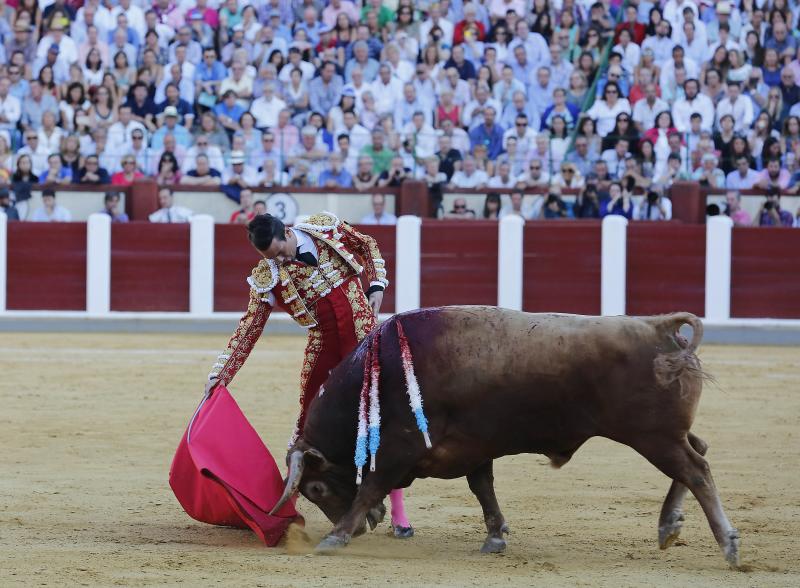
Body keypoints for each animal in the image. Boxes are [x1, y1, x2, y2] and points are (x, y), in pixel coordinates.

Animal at [272, 308, 740, 568]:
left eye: (315, 488)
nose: (367, 527)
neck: (377, 379)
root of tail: (660, 327)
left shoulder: (399, 449)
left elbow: (370, 485)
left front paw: (335, 538)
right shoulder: (472, 447)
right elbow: (483, 489)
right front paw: (495, 536)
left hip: (652, 436)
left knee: (697, 469)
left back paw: (727, 544)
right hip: (665, 433)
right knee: (699, 450)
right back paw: (669, 526)